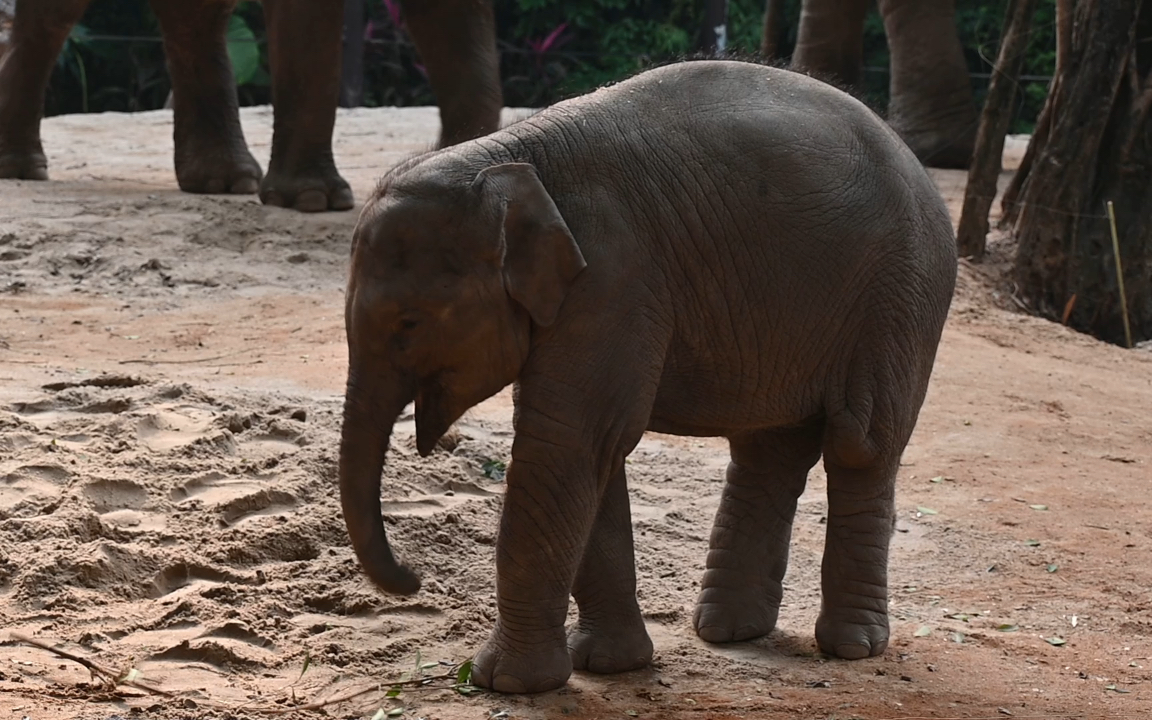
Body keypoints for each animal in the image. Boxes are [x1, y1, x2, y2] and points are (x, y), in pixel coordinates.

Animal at [338, 60, 953, 691]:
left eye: (409, 322)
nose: (411, 577)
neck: (505, 160)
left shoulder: (613, 279)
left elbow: (568, 441)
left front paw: (506, 683)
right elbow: (593, 452)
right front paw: (610, 665)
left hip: (901, 298)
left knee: (861, 446)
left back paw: (851, 646)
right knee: (768, 449)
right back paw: (730, 633)